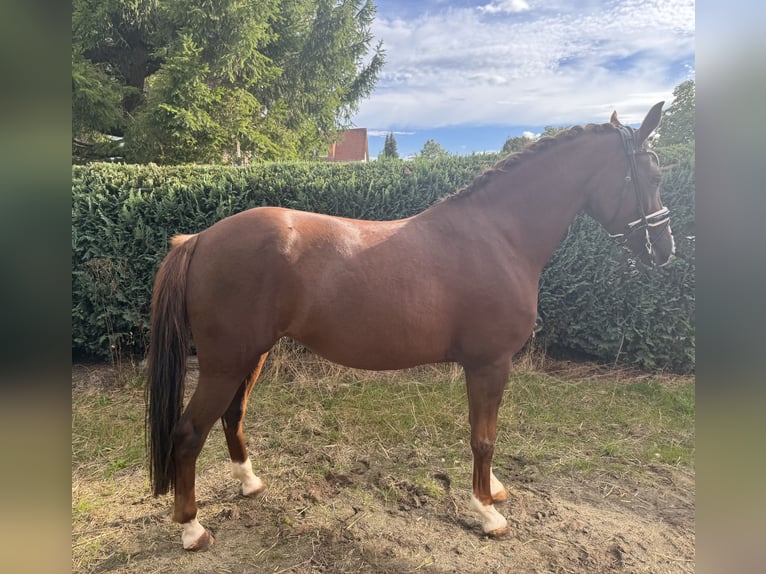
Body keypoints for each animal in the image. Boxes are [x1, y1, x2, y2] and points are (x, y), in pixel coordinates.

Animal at [146, 103, 675, 550]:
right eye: (651, 174)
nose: (666, 250)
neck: (498, 235)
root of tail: (199, 239)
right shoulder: (489, 363)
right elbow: (484, 436)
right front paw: (487, 513)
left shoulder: (487, 366)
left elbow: (486, 430)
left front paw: (493, 490)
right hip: (224, 363)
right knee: (188, 433)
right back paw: (192, 529)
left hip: (251, 355)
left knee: (232, 416)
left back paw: (250, 483)